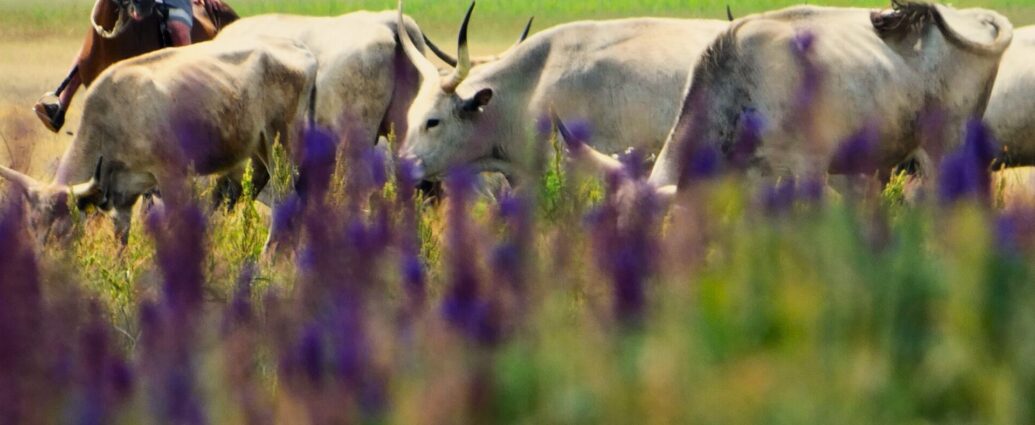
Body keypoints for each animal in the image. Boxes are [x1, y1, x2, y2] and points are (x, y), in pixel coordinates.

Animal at [0, 37, 314, 243]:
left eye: (61, 229)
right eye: (32, 226)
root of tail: (303, 53)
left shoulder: (173, 176)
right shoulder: (123, 195)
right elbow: (121, 240)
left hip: (282, 148)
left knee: (285, 207)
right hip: (260, 152)